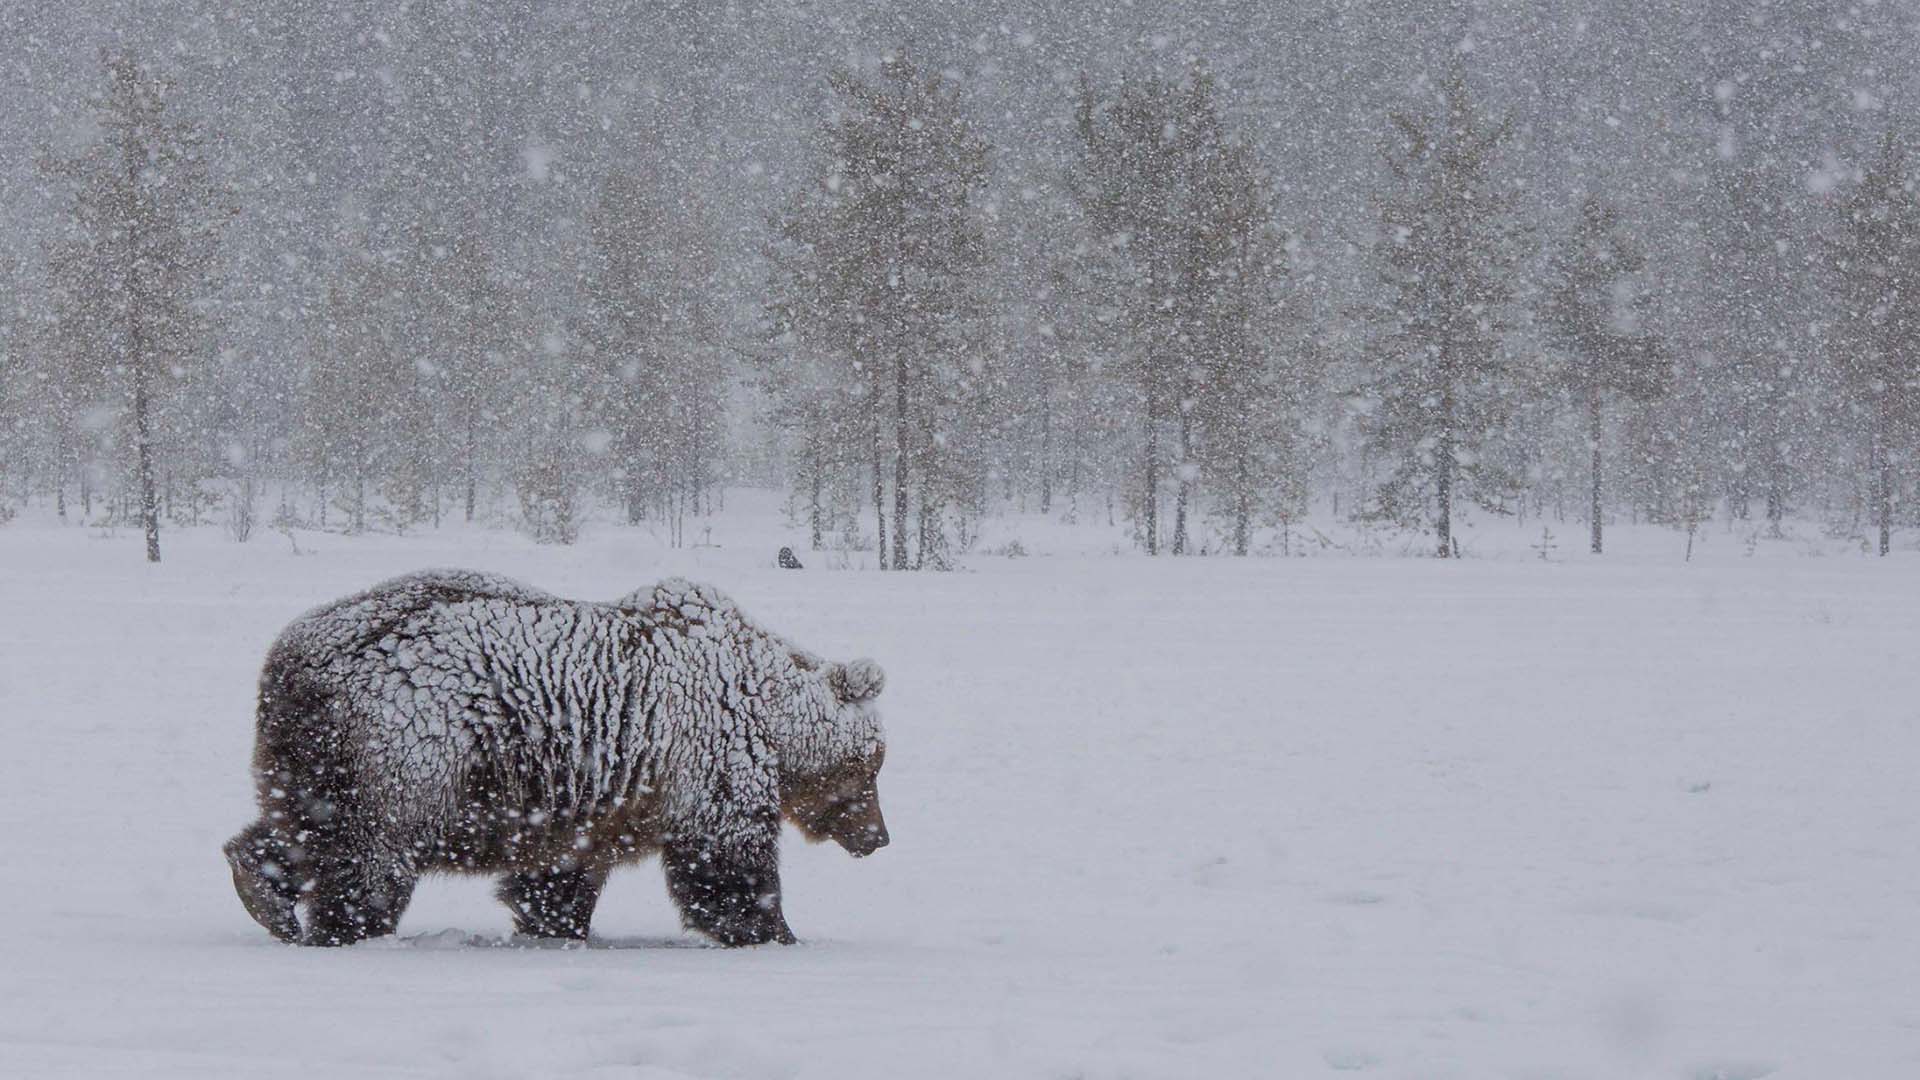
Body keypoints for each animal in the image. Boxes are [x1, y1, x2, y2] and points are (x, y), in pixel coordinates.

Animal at [223, 569, 888, 947]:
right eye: (873, 765)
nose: (879, 837)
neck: (771, 711)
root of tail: (293, 659)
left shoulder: (587, 797)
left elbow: (558, 874)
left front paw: (554, 924)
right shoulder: (710, 760)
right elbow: (728, 861)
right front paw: (774, 931)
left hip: (308, 756)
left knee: (301, 825)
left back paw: (263, 894)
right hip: (406, 754)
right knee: (369, 856)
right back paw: (344, 928)